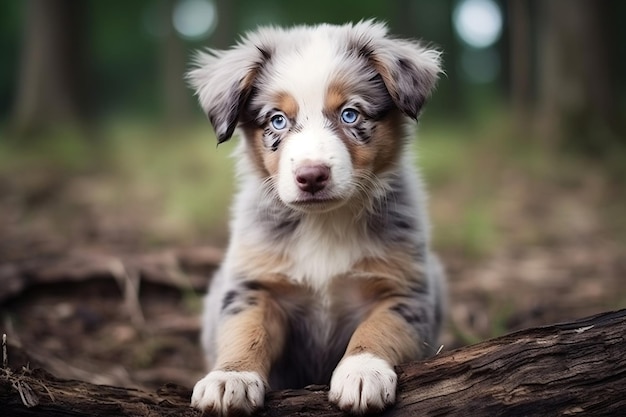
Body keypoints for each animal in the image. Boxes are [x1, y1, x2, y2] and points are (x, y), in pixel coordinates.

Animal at [185, 21, 444, 414]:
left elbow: (378, 328)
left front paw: (362, 372)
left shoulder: (405, 291)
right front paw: (231, 377)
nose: (311, 176)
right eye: (277, 120)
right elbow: (245, 330)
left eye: (350, 114)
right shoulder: (255, 286)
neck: (326, 222)